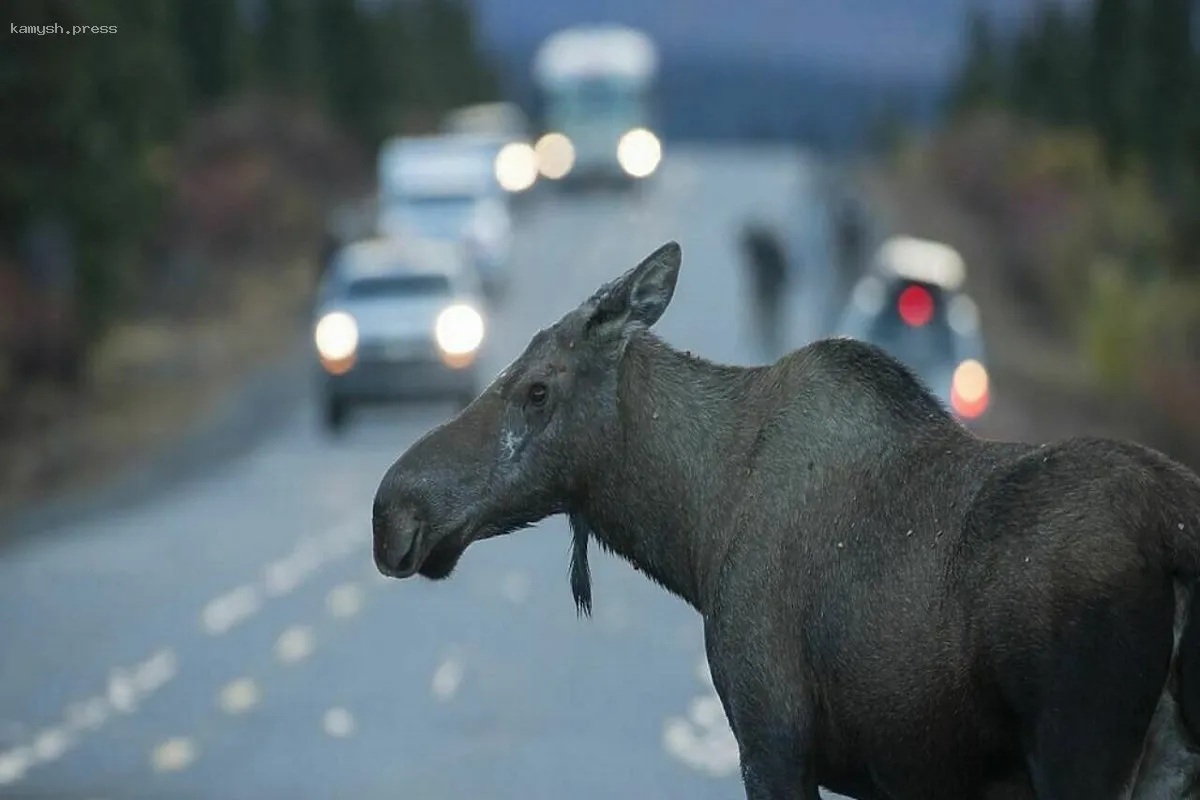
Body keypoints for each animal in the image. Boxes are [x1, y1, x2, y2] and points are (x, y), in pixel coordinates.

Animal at [369, 241, 1200, 796]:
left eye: (537, 389)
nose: (392, 511)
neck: (695, 527)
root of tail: (1176, 535)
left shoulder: (772, 735)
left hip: (1079, 748)